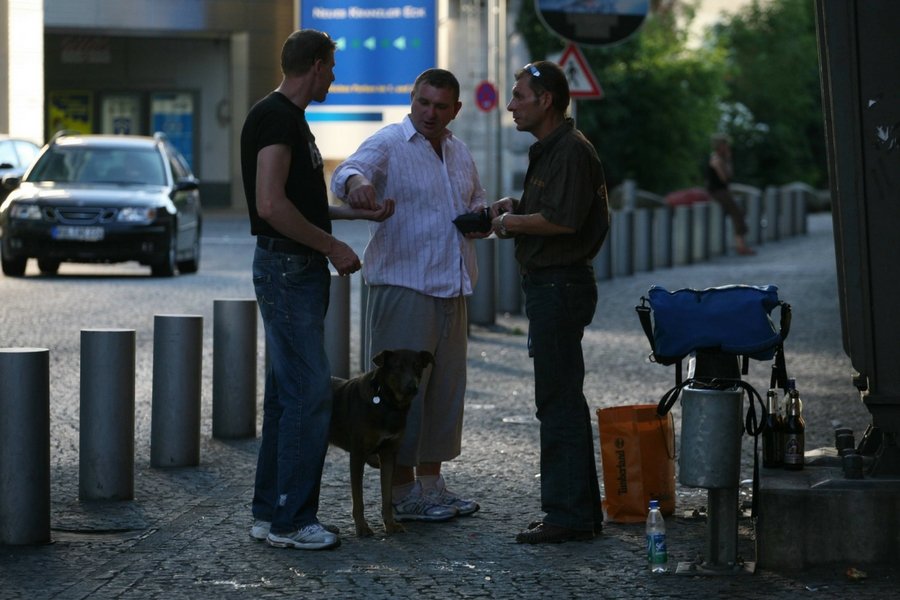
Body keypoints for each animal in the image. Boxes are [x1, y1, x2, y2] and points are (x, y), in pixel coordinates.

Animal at [330, 350, 436, 536]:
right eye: (398, 367)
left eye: (417, 366)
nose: (413, 387)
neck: (386, 403)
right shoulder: (357, 455)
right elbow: (358, 498)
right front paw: (362, 527)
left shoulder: (389, 455)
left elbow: (387, 496)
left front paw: (390, 524)